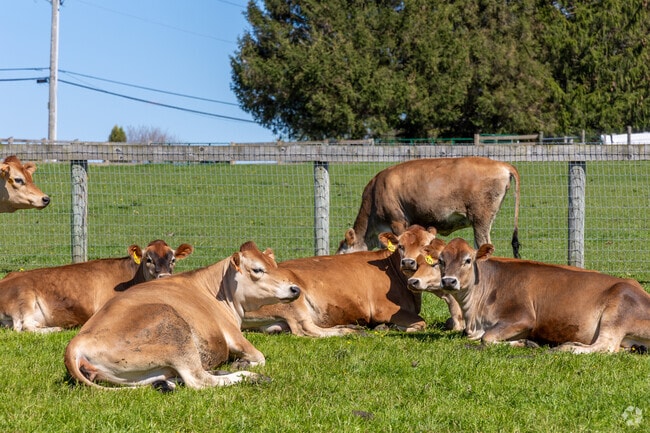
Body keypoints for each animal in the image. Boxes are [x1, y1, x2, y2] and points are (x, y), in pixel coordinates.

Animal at [0, 240, 193, 332]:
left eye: (173, 260)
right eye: (149, 259)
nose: (164, 276)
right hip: (24, 297)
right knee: (24, 326)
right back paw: (57, 328)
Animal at [64, 241, 302, 390]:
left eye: (275, 265)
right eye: (258, 269)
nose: (295, 289)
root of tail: (76, 342)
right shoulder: (234, 335)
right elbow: (259, 357)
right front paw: (244, 365)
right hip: (174, 330)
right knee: (198, 380)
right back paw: (253, 377)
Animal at [241, 235, 427, 337]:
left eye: (426, 246)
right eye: (401, 245)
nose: (409, 262)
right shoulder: (382, 309)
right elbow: (421, 323)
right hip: (294, 302)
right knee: (307, 329)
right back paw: (352, 331)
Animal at [436, 237, 650, 353]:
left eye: (468, 260)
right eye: (440, 260)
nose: (449, 281)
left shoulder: (523, 318)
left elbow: (487, 338)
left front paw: (526, 342)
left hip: (617, 310)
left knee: (605, 346)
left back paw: (565, 347)